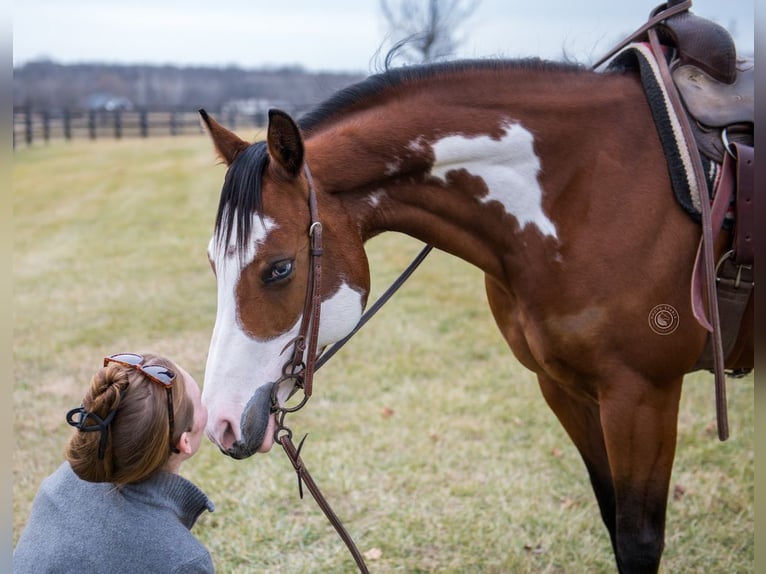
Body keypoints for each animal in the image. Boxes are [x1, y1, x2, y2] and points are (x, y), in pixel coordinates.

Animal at [197, 53, 753, 572]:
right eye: (213, 263)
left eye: (280, 268)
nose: (219, 421)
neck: (585, 191)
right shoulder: (566, 388)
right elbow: (611, 518)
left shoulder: (641, 395)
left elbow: (637, 542)